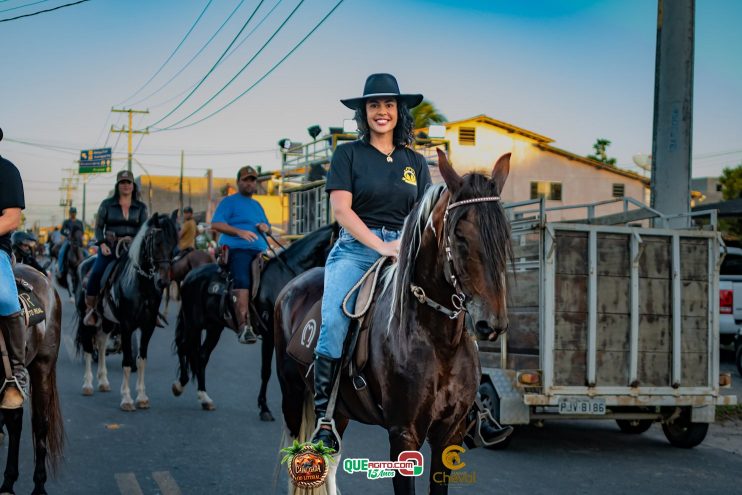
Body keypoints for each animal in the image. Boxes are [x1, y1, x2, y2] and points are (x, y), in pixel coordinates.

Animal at [76, 213, 179, 410]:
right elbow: (127, 361)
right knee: (88, 347)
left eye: (174, 244)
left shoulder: (147, 327)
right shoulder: (126, 326)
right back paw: (87, 385)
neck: (140, 286)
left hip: (107, 321)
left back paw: (103, 382)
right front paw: (126, 399)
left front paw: (142, 397)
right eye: (157, 243)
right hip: (86, 319)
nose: (163, 281)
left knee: (101, 344)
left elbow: (140, 360)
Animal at [173, 223, 338, 416]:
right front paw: (264, 407)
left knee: (201, 355)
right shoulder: (270, 336)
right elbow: (266, 371)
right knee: (183, 346)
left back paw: (204, 397)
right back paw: (180, 384)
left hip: (214, 328)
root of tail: (190, 276)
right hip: (193, 324)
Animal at [276, 151, 516, 495]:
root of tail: (292, 287)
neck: (437, 342)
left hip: (340, 413)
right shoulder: (404, 434)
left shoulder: (450, 434)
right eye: (459, 234)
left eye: (504, 234)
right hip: (292, 395)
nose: (491, 323)